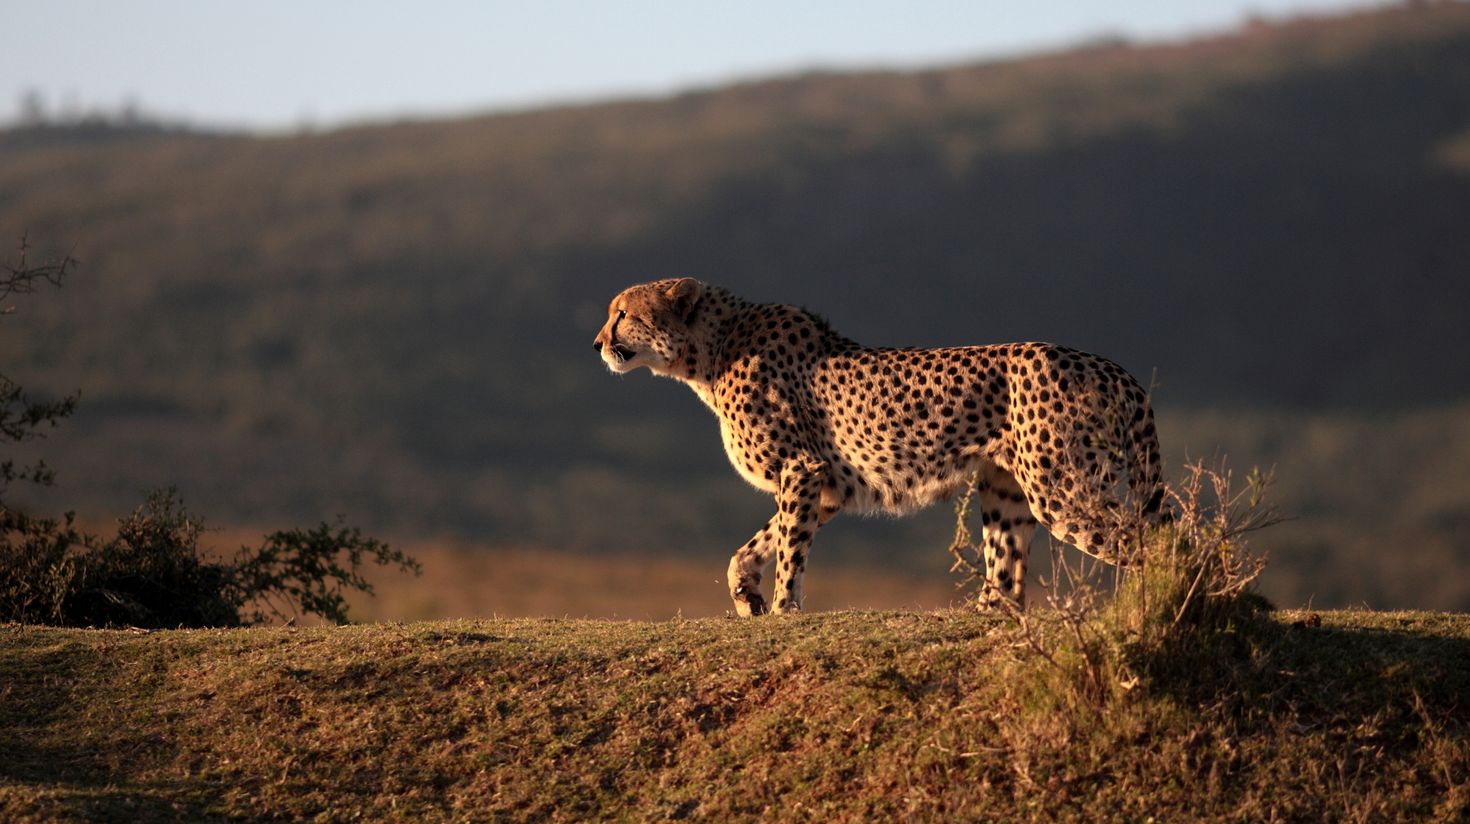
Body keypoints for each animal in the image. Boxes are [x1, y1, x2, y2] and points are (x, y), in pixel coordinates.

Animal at [593, 278, 1165, 615]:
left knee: (1151, 539)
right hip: (1008, 490)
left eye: (623, 314)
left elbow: (790, 549)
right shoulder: (823, 486)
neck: (710, 351)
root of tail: (1110, 366)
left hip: (1061, 491)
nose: (598, 343)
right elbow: (756, 544)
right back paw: (984, 613)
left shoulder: (802, 469)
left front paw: (781, 609)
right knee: (1008, 573)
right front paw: (746, 596)